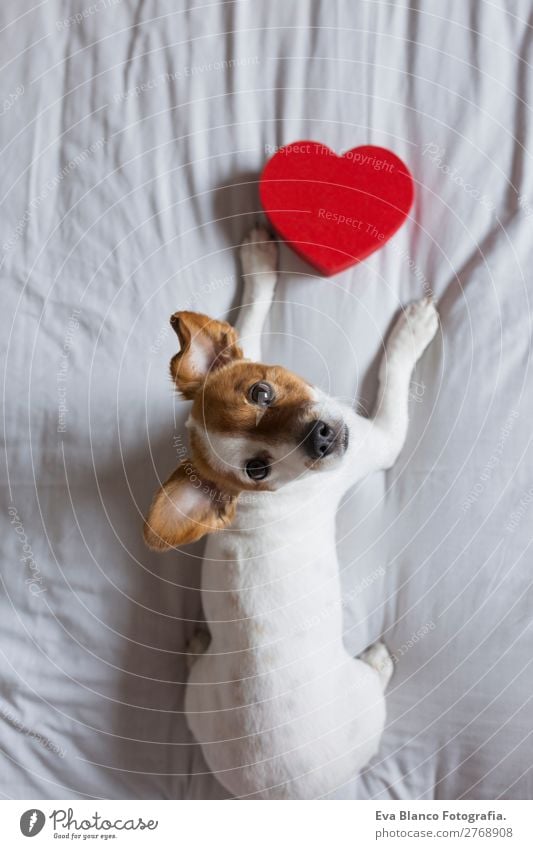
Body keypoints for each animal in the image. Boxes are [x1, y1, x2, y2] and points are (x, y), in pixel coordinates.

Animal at [143, 225, 438, 796]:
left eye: (261, 391)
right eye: (255, 469)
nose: (320, 437)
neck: (266, 498)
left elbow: (250, 315)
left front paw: (259, 261)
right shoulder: (381, 439)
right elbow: (393, 374)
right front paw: (412, 329)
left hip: (199, 700)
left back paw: (196, 645)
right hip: (363, 705)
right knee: (376, 682)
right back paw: (379, 660)